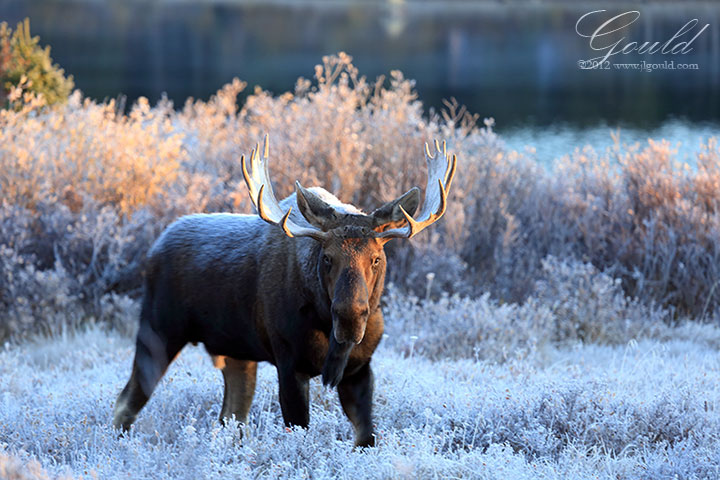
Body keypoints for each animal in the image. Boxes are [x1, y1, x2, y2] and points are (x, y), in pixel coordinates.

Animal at [115, 135, 458, 446]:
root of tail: (153, 249)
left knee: (231, 417)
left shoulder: (360, 369)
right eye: (327, 257)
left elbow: (366, 438)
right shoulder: (290, 365)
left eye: (376, 257)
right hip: (158, 332)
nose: (350, 318)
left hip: (237, 355)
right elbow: (299, 432)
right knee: (126, 402)